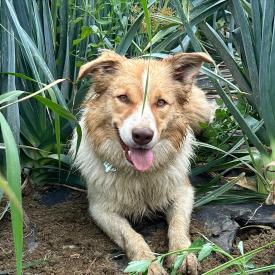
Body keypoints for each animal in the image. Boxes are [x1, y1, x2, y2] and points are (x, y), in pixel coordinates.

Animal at [70, 50, 215, 274]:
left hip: (201, 114)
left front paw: (182, 255)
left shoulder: (184, 192)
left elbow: (178, 225)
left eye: (161, 102)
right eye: (123, 98)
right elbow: (131, 235)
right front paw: (148, 264)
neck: (139, 175)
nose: (142, 136)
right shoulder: (100, 209)